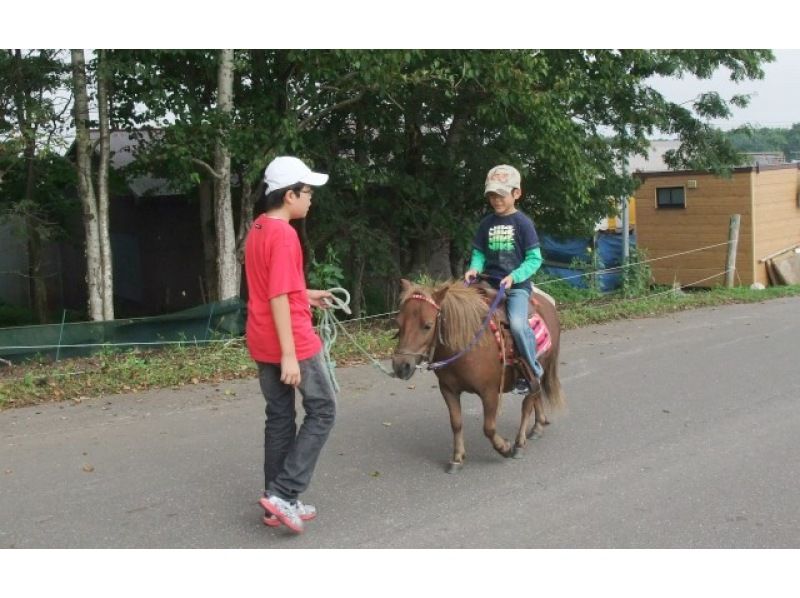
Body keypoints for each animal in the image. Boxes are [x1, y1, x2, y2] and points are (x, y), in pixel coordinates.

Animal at [390, 280, 564, 474]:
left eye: (427, 325)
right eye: (399, 322)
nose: (401, 366)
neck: (466, 345)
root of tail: (548, 303)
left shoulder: (489, 392)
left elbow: (489, 427)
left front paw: (505, 448)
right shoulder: (448, 390)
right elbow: (456, 423)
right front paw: (457, 458)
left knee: (527, 403)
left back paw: (519, 443)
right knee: (536, 394)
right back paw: (538, 426)